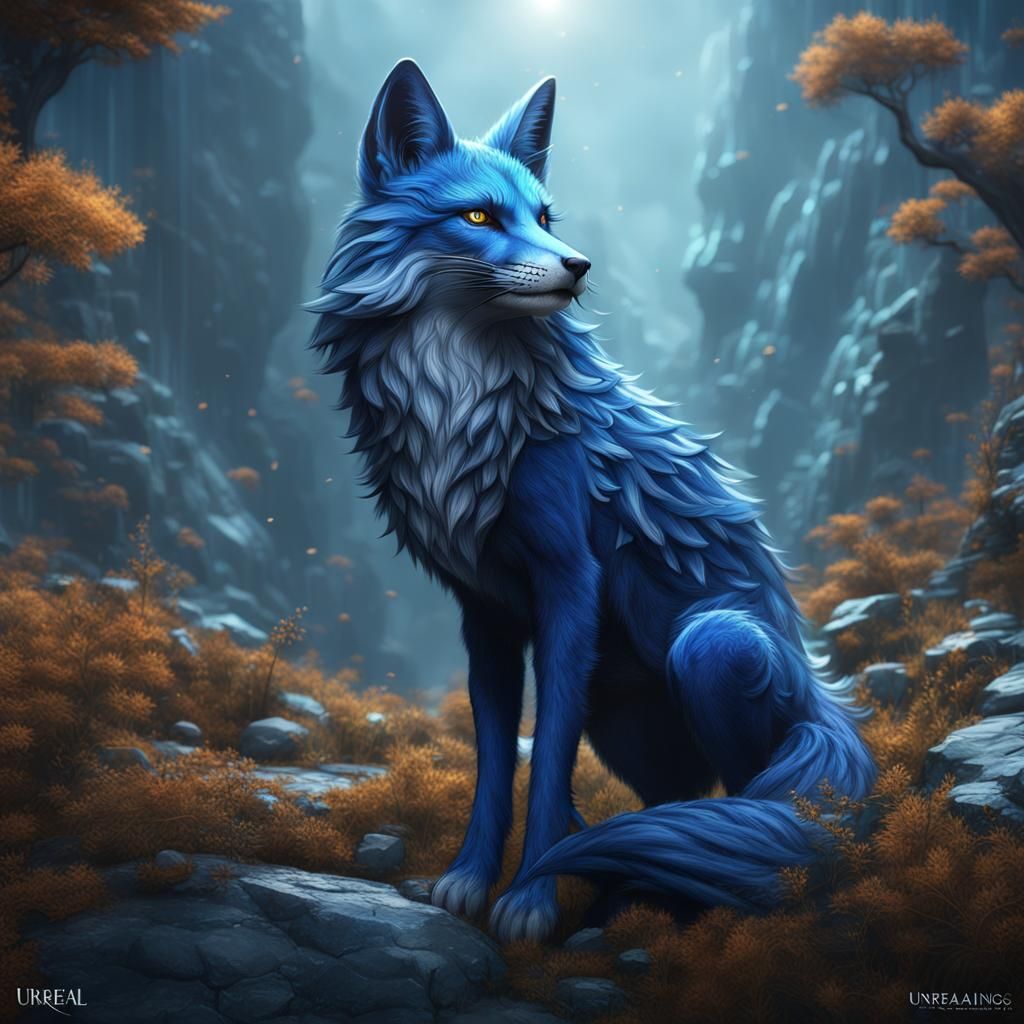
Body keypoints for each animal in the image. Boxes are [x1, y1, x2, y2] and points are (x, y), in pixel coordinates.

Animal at [308, 59, 876, 944]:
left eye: (544, 217)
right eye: (479, 215)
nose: (576, 265)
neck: (461, 402)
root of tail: (826, 693)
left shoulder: (570, 585)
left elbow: (546, 766)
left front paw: (531, 900)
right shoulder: (486, 614)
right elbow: (496, 758)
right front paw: (469, 881)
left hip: (711, 644)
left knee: (757, 803)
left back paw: (702, 910)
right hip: (624, 722)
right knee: (675, 805)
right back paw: (629, 900)